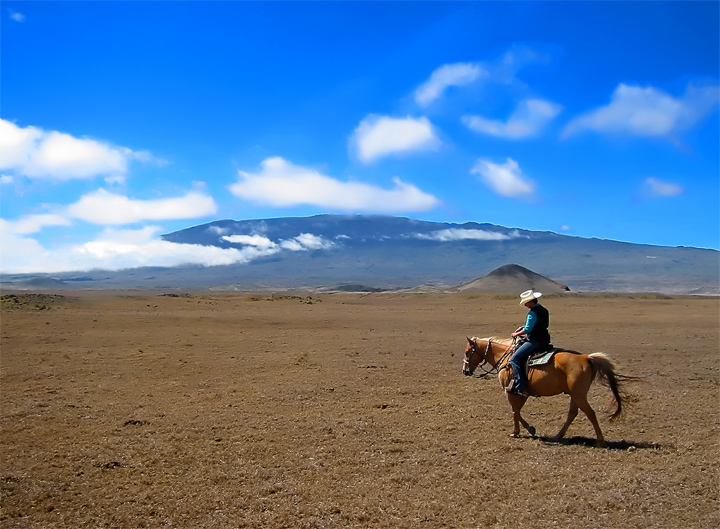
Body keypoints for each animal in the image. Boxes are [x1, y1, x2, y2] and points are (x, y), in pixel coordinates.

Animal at [464, 336, 628, 444]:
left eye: (467, 352)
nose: (465, 371)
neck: (506, 357)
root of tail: (587, 358)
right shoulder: (522, 392)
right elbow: (518, 410)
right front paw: (530, 429)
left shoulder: (509, 390)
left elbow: (514, 410)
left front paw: (517, 432)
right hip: (575, 395)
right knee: (572, 413)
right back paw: (557, 436)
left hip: (579, 395)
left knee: (589, 413)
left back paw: (599, 440)